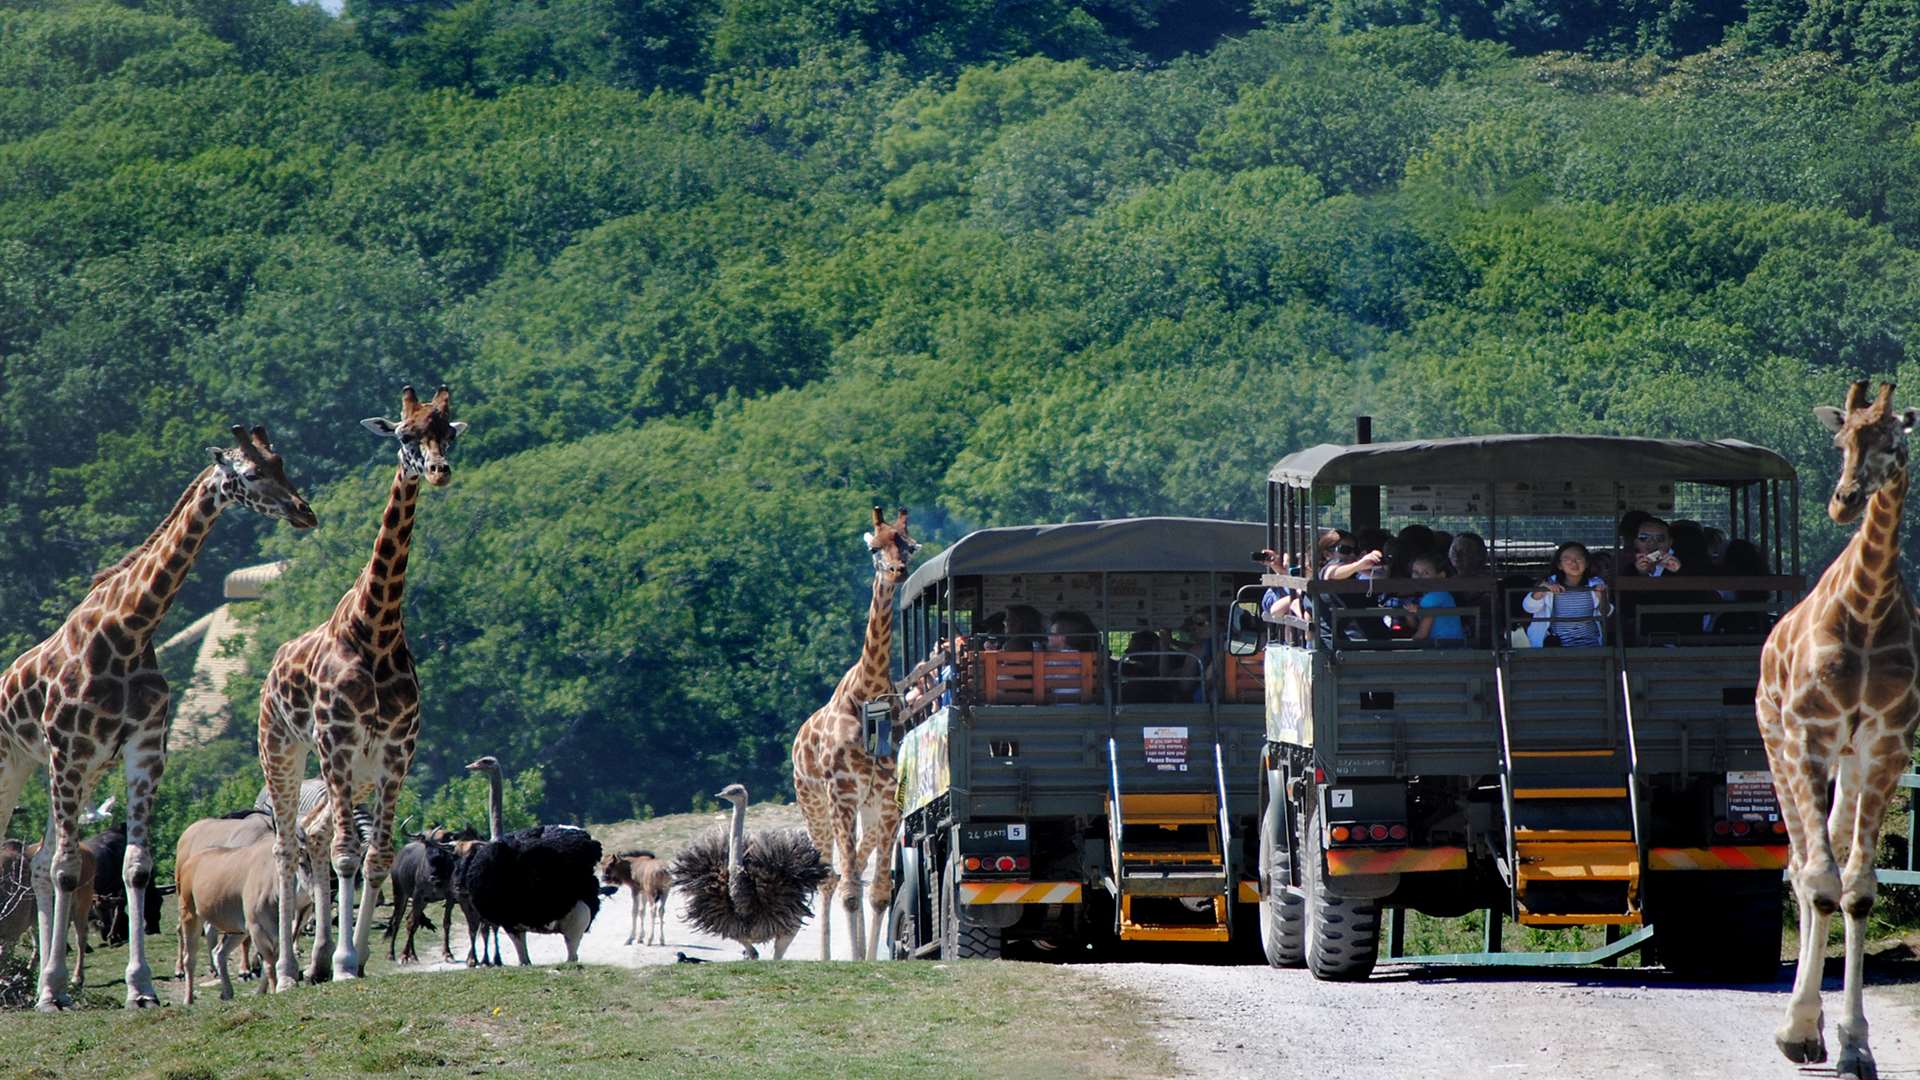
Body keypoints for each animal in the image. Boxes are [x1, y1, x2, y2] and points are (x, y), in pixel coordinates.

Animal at [0, 424, 314, 1006]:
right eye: (251, 473)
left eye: (281, 462)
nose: (303, 511)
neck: (128, 631)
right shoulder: (70, 751)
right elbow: (68, 869)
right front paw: (55, 993)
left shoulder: (141, 750)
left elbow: (136, 868)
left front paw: (138, 987)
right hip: (20, 762)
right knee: (40, 860)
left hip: (67, 770)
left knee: (37, 863)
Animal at [257, 384, 466, 983]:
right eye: (405, 433)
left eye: (449, 432)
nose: (438, 470)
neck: (376, 629)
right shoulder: (337, 744)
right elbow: (348, 853)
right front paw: (346, 960)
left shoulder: (395, 753)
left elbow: (376, 856)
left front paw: (356, 955)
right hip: (285, 752)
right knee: (289, 846)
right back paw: (288, 971)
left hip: (358, 773)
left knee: (318, 835)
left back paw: (318, 959)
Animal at [787, 503, 921, 957]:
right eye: (874, 547)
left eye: (908, 544)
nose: (897, 570)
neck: (870, 688)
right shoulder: (841, 791)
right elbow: (846, 889)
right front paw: (851, 958)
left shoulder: (887, 798)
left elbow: (877, 891)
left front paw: (866, 954)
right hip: (814, 803)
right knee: (829, 877)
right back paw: (830, 955)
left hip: (864, 809)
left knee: (855, 870)